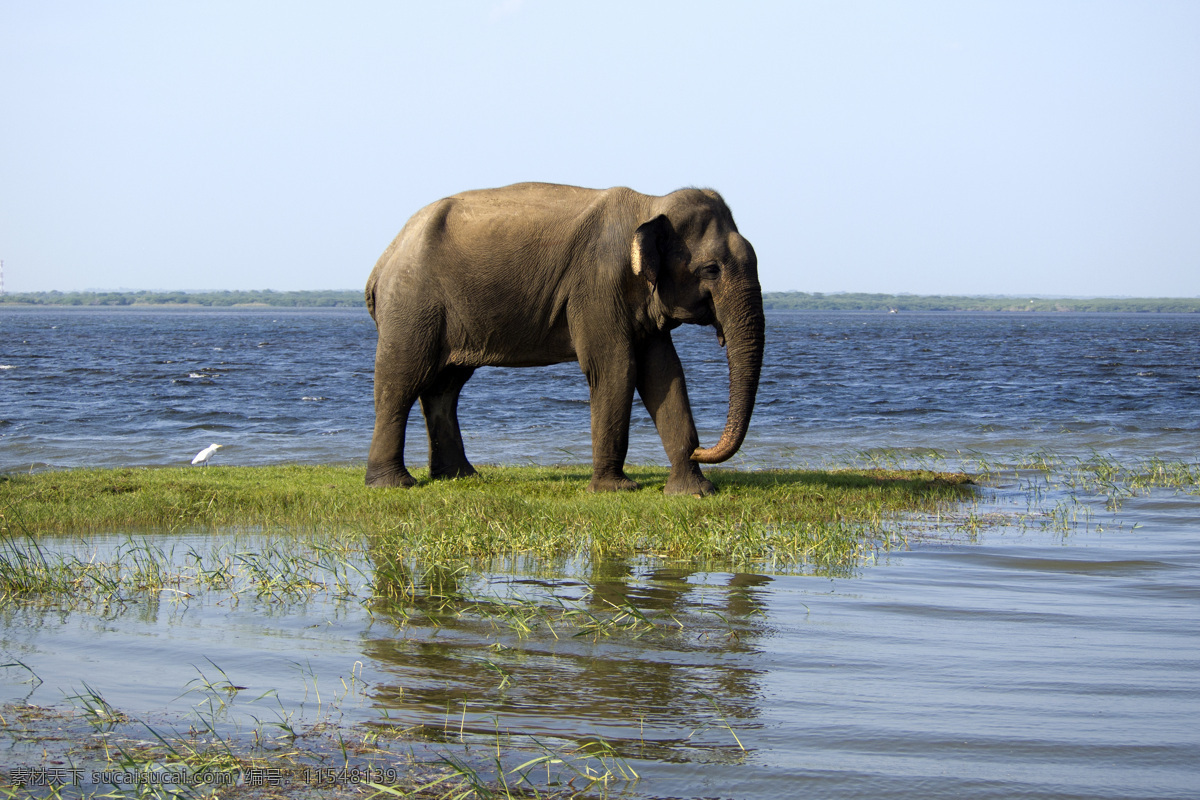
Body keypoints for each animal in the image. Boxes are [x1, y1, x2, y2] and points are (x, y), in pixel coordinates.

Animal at [360, 181, 763, 494]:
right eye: (711, 270)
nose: (701, 449)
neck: (650, 204)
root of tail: (382, 262)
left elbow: (664, 373)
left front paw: (695, 492)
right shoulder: (598, 286)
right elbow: (616, 367)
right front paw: (615, 490)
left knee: (444, 386)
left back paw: (460, 476)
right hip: (412, 306)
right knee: (402, 381)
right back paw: (394, 484)